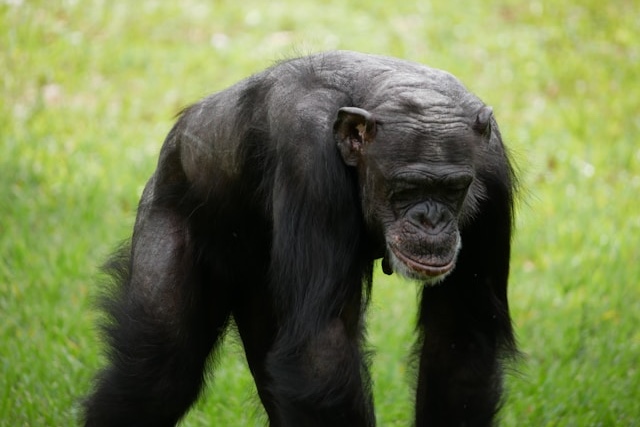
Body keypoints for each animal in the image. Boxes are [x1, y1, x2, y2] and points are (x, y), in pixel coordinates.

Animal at [82, 51, 516, 427]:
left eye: (452, 190)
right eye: (407, 188)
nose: (431, 219)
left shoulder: (492, 175)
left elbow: (460, 336)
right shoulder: (309, 160)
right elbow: (319, 351)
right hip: (171, 210)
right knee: (157, 375)